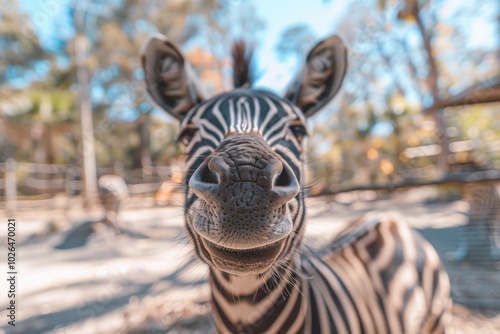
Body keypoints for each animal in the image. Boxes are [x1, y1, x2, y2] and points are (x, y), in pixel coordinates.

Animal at [142, 33, 454, 332]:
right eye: (187, 135)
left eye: (298, 130)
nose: (245, 187)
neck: (244, 306)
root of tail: (388, 217)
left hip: (437, 319)